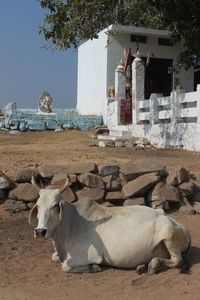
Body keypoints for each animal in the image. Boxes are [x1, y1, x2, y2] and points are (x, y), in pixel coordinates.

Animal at [28, 177, 191, 276]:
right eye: (38, 205)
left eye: (55, 206)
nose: (40, 231)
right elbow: (54, 258)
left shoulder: (91, 255)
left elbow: (65, 266)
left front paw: (94, 267)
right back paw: (142, 266)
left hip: (169, 235)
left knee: (178, 261)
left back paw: (153, 265)